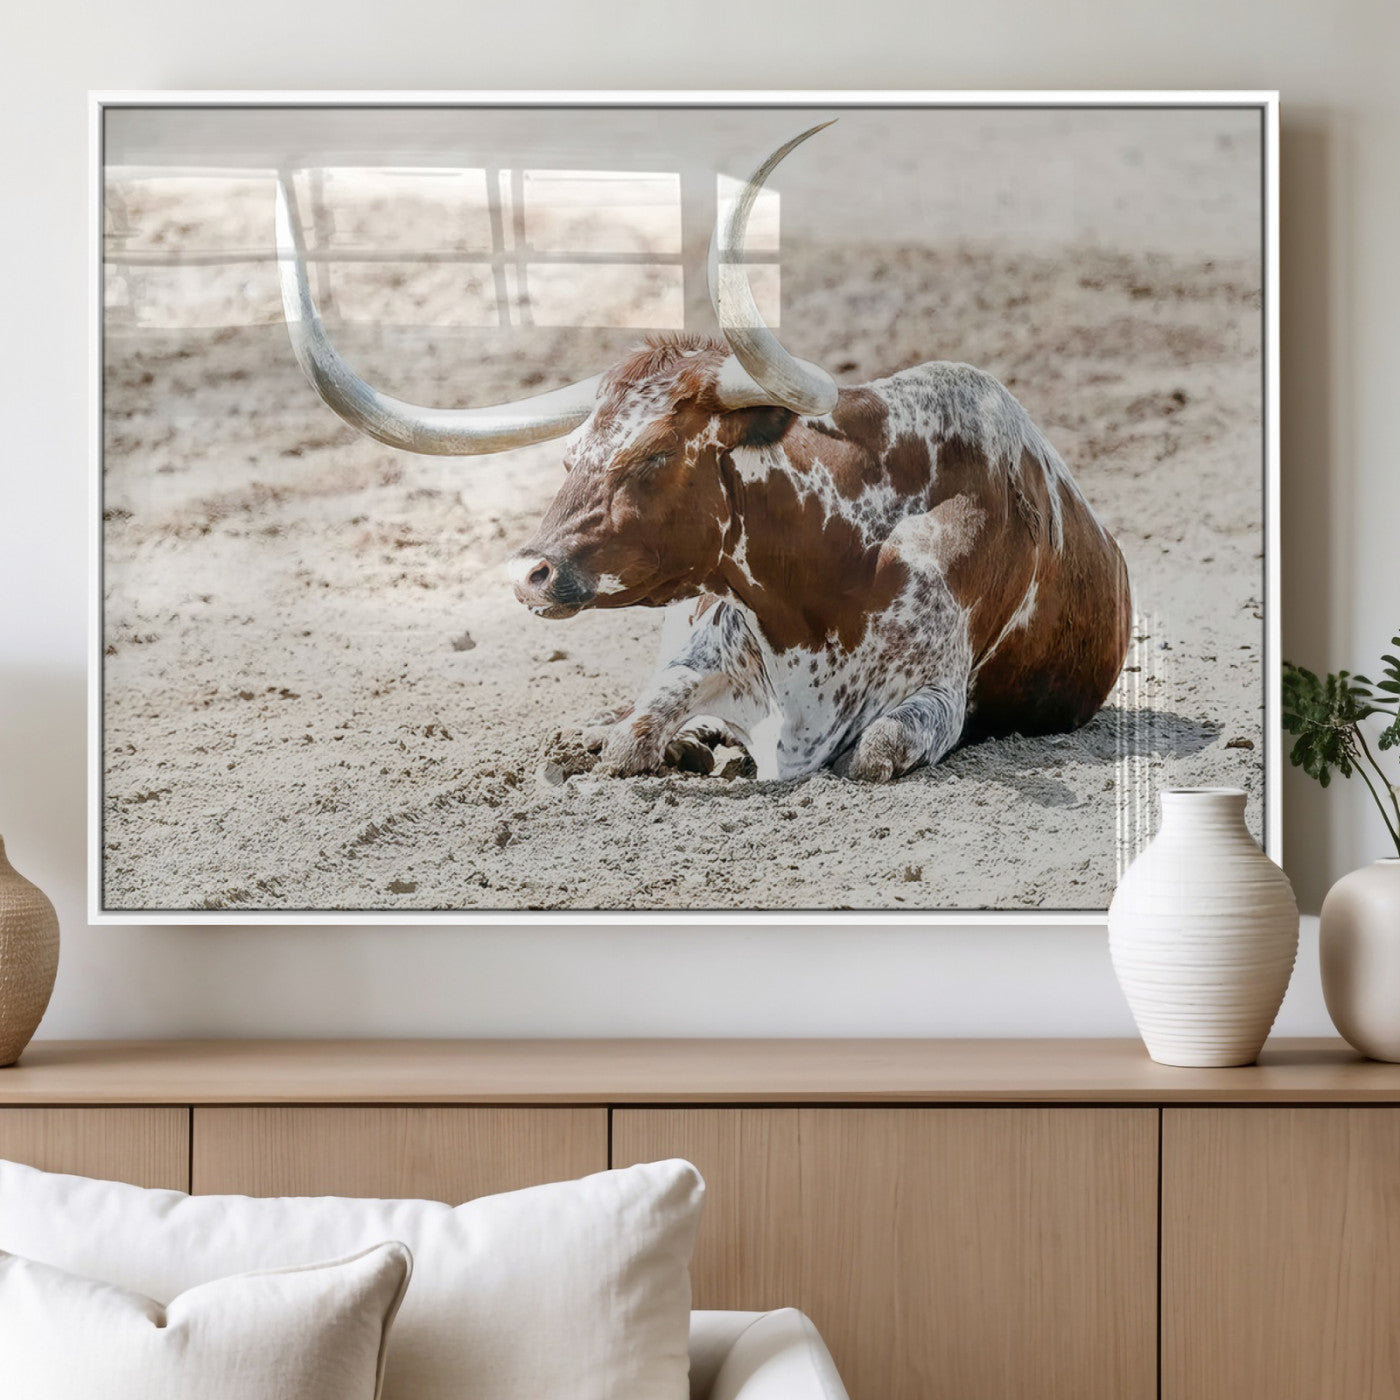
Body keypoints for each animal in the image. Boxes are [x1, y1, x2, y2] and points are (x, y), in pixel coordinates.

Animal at [274, 124, 1131, 783]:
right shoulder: (699, 651)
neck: (830, 577)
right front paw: (656, 743)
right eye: (570, 456)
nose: (531, 574)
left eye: (654, 455)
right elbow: (633, 734)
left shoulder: (933, 700)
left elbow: (873, 750)